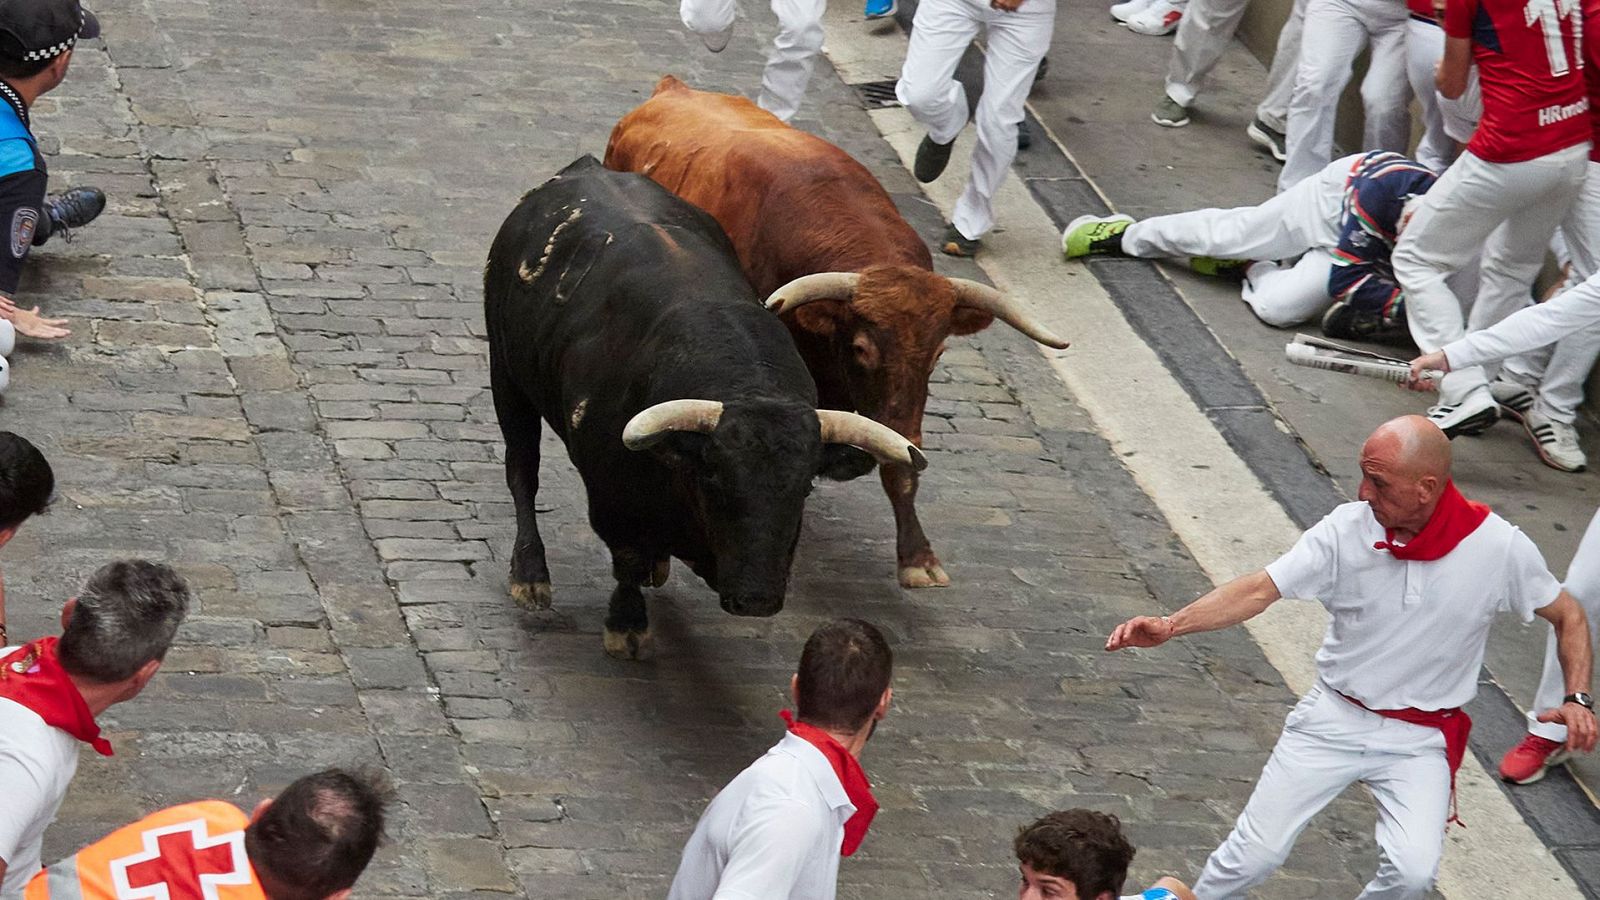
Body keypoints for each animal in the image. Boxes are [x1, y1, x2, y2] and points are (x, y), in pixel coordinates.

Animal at [480, 157, 921, 656]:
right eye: (714, 477)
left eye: (806, 485)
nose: (757, 598)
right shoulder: (612, 497)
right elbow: (627, 559)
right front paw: (626, 625)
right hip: (506, 375)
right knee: (522, 470)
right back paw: (530, 575)